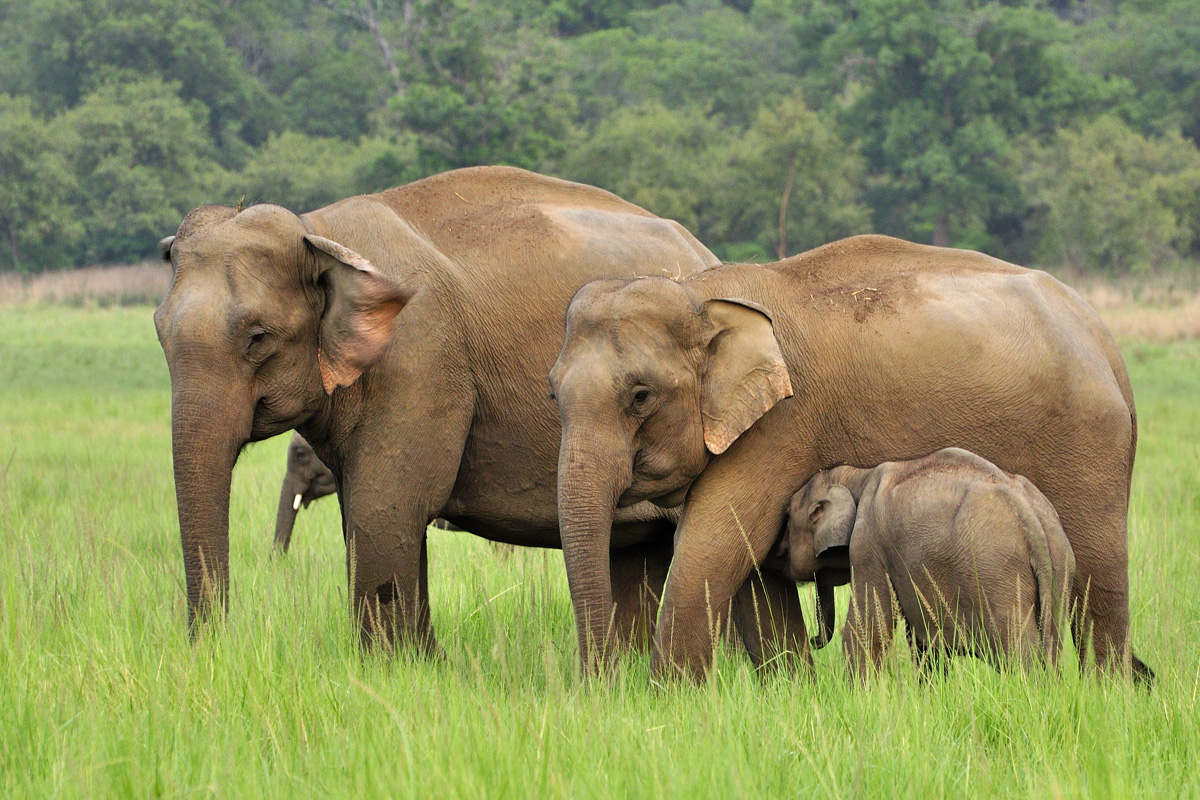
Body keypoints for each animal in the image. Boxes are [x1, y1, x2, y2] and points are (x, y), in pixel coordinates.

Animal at [154, 166, 723, 655]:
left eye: (258, 338)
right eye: (159, 331)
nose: (213, 649)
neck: (318, 231)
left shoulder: (418, 357)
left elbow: (385, 508)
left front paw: (399, 665)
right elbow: (368, 513)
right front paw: (425, 662)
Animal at [770, 448, 1075, 676]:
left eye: (788, 516)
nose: (812, 639)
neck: (857, 474)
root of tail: (1032, 518)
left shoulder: (869, 543)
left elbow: (868, 630)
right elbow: (924, 640)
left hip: (998, 573)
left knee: (1018, 651)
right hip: (1059, 568)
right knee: (1052, 647)